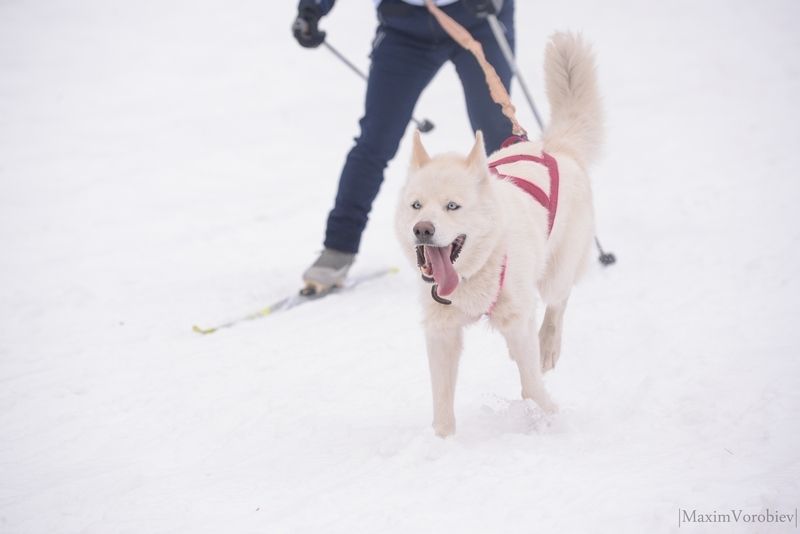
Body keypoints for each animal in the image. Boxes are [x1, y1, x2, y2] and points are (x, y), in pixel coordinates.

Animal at [394, 31, 608, 438]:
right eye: (416, 205)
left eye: (452, 206)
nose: (422, 229)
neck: (471, 276)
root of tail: (553, 148)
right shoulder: (441, 332)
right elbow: (442, 403)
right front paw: (442, 441)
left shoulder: (516, 319)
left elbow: (532, 386)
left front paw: (551, 417)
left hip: (555, 275)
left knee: (557, 303)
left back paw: (548, 345)